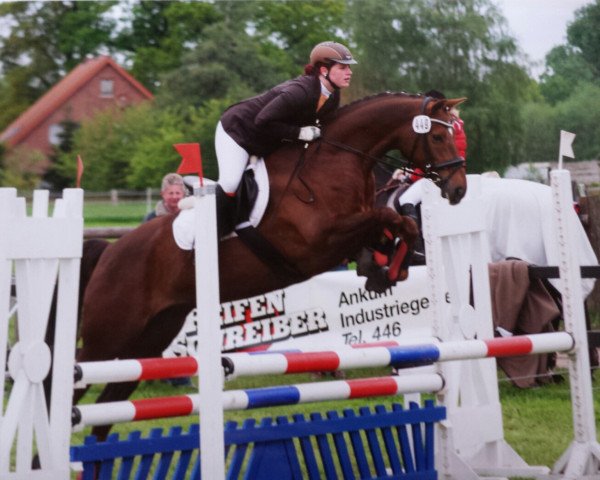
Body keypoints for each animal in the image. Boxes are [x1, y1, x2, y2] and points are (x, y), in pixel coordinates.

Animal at [74, 92, 468, 440]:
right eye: (438, 136)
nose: (459, 190)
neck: (336, 160)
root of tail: (108, 252)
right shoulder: (318, 241)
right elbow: (386, 217)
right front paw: (385, 267)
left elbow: (399, 225)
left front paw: (383, 270)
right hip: (109, 336)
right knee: (73, 379)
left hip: (150, 338)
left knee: (105, 412)